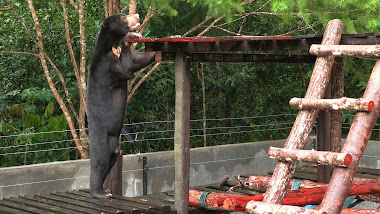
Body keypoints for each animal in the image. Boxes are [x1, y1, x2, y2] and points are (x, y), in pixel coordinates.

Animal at [87, 12, 156, 197]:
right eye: (124, 17)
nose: (137, 15)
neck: (111, 46)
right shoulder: (106, 67)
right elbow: (126, 69)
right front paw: (129, 37)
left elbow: (139, 59)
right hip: (100, 136)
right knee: (99, 160)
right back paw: (99, 192)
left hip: (114, 144)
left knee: (112, 159)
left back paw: (104, 188)